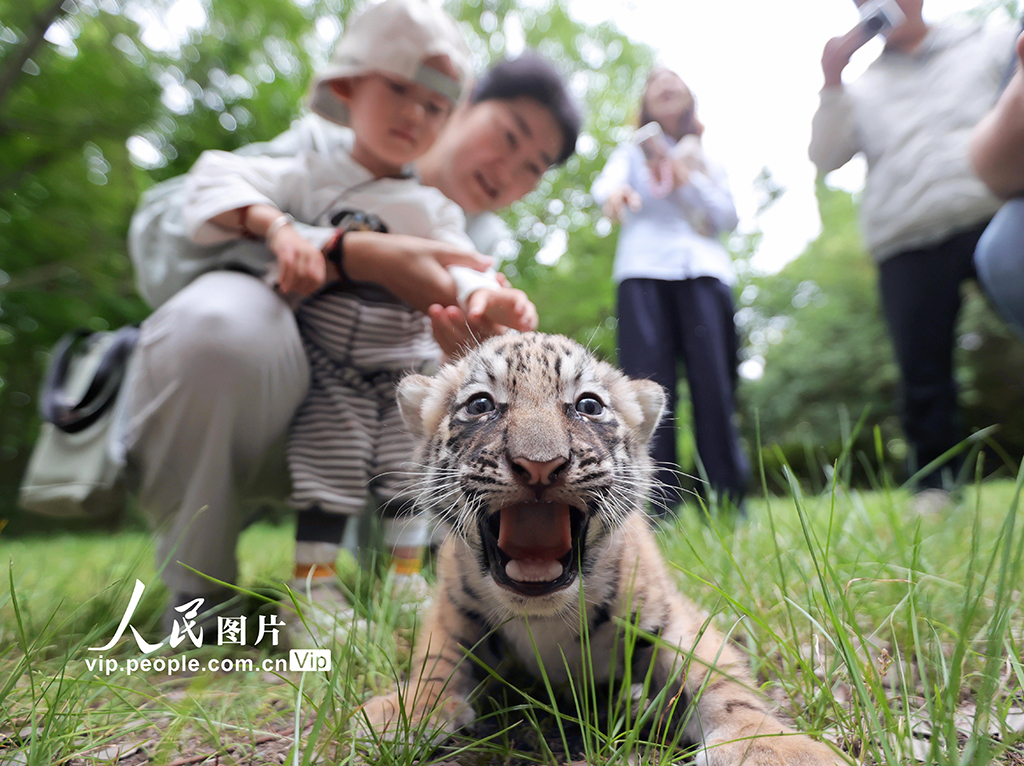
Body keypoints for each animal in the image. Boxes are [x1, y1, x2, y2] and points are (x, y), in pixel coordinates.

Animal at [357, 332, 841, 765]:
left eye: (589, 405)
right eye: (480, 405)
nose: (539, 465)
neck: (544, 618)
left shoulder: (671, 622)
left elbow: (722, 682)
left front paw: (774, 748)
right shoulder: (452, 613)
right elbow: (435, 663)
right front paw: (402, 711)